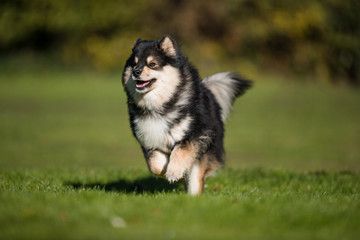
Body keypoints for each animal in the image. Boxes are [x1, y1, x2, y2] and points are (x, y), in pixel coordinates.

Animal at [122, 34, 252, 194]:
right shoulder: (149, 139)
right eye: (134, 64)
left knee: (196, 181)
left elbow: (178, 153)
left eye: (152, 64)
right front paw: (166, 170)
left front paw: (173, 172)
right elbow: (155, 166)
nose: (136, 72)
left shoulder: (193, 136)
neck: (161, 105)